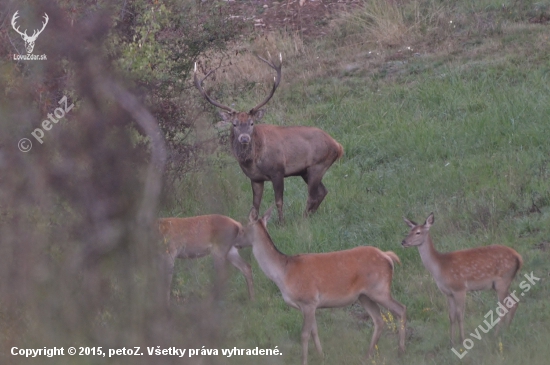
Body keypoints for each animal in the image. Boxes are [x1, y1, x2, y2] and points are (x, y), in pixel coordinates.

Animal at [193, 55, 340, 223]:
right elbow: (254, 208)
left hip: (318, 165)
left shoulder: (278, 171)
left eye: (251, 123)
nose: (244, 138)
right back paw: (308, 215)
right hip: (306, 171)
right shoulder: (255, 179)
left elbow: (279, 201)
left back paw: (303, 219)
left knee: (312, 195)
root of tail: (338, 146)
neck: (254, 160)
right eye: (234, 124)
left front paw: (281, 222)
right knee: (322, 191)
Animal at [244, 208, 408, 364]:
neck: (283, 274)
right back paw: (367, 356)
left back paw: (400, 352)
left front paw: (304, 361)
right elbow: (314, 331)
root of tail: (388, 256)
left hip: (379, 289)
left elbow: (304, 334)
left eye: (243, 227)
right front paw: (321, 356)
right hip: (364, 296)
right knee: (379, 320)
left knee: (401, 308)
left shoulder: (308, 300)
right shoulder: (310, 305)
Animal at [402, 212, 528, 342]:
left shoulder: (459, 288)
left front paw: (462, 339)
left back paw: (496, 335)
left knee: (503, 308)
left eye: (418, 232)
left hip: (502, 280)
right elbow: (451, 316)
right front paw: (451, 341)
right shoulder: (448, 293)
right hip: (501, 283)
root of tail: (518, 257)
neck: (440, 267)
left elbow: (460, 315)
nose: (403, 242)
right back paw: (506, 330)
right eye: (409, 231)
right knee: (514, 302)